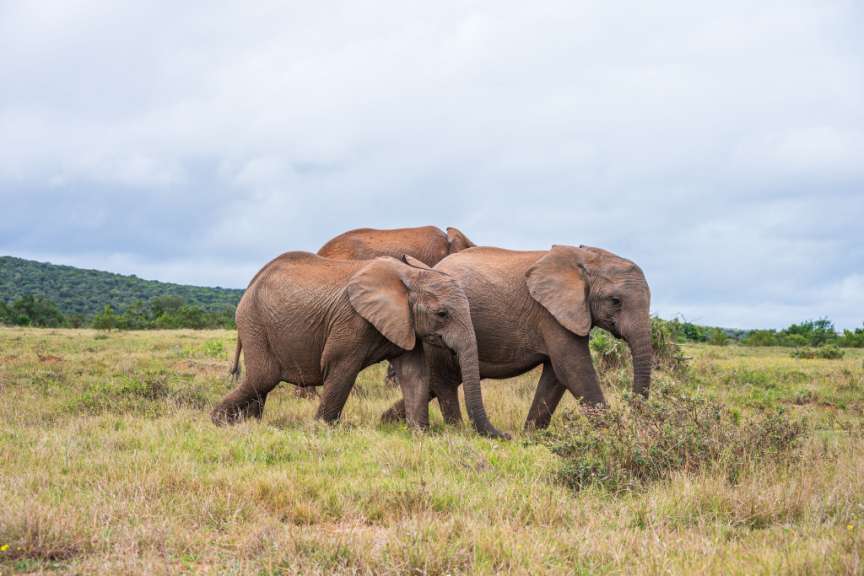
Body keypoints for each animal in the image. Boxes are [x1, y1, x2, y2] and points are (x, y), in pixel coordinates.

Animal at [211, 251, 508, 439]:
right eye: (442, 314)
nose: (506, 435)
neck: (409, 276)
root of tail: (251, 283)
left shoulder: (404, 323)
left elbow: (415, 375)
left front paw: (420, 433)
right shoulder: (352, 320)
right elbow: (341, 369)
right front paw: (321, 429)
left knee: (261, 383)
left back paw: (248, 423)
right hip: (254, 321)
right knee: (263, 377)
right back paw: (219, 421)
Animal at [383, 245, 653, 430]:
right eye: (615, 301)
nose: (633, 417)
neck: (584, 257)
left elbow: (556, 376)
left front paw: (531, 435)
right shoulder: (551, 315)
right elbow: (573, 369)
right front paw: (613, 433)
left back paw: (385, 421)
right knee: (445, 380)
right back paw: (456, 430)